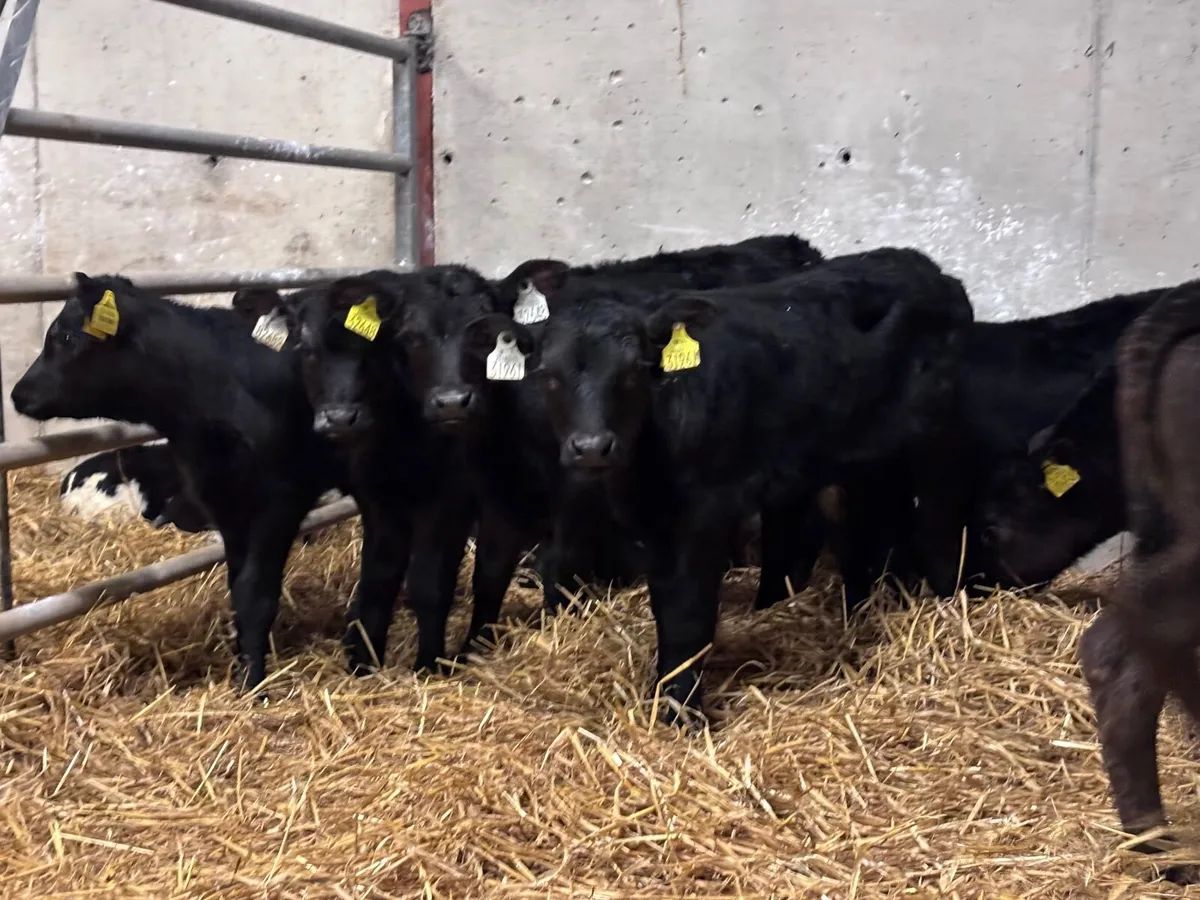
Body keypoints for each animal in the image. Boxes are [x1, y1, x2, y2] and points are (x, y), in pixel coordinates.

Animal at [9, 274, 348, 690]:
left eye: (66, 336)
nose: (18, 393)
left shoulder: (278, 501)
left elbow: (257, 594)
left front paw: (252, 684)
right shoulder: (225, 504)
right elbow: (239, 589)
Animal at [483, 247, 974, 724]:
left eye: (635, 371)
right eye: (547, 375)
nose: (591, 447)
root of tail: (925, 267)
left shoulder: (704, 517)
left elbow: (689, 616)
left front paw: (682, 714)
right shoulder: (656, 528)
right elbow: (668, 607)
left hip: (938, 448)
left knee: (939, 529)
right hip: (859, 466)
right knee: (864, 536)